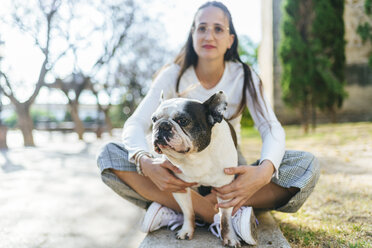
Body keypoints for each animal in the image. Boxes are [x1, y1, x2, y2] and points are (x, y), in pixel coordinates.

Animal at [152, 90, 241, 246]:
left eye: (183, 120)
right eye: (153, 119)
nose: (162, 125)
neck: (195, 156)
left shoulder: (226, 189)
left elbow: (225, 218)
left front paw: (230, 237)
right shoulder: (179, 188)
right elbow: (188, 212)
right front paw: (187, 230)